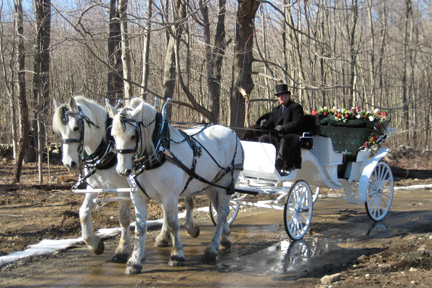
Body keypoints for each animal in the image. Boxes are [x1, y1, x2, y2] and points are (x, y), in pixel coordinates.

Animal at [52, 95, 199, 262]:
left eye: (76, 127)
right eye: (58, 131)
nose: (69, 163)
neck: (106, 150)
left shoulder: (124, 189)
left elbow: (123, 218)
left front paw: (121, 250)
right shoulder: (93, 187)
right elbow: (83, 212)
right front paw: (94, 244)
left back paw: (188, 229)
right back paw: (165, 236)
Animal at [108, 101, 243, 274]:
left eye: (133, 136)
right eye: (113, 135)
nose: (122, 171)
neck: (157, 153)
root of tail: (232, 132)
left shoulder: (169, 196)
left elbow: (173, 224)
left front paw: (177, 255)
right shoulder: (138, 197)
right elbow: (140, 228)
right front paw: (134, 261)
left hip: (226, 183)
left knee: (222, 213)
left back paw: (212, 248)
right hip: (211, 184)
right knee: (220, 210)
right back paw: (224, 238)